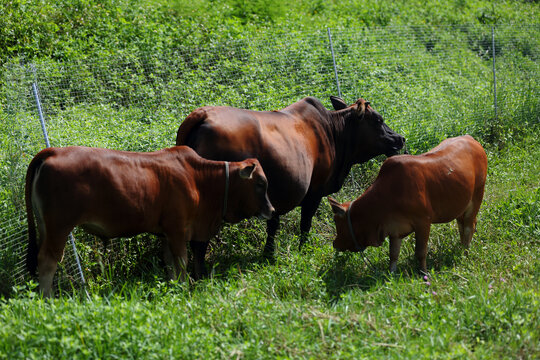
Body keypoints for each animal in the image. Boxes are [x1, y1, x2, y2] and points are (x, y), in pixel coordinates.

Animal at [25, 145, 274, 296]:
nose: (271, 210)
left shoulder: (166, 233)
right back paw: (48, 299)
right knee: (47, 261)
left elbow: (170, 263)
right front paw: (184, 287)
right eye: (260, 183)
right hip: (59, 226)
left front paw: (174, 287)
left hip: (45, 226)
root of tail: (52, 151)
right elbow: (182, 261)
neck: (198, 179)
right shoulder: (177, 229)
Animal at [177, 96, 404, 256]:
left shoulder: (274, 196)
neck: (333, 133)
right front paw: (303, 251)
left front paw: (268, 255)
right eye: (378, 120)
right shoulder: (314, 191)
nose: (400, 138)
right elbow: (305, 224)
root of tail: (203, 114)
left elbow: (272, 225)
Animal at [326, 135, 488, 272]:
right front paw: (391, 274)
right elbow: (393, 255)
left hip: (477, 197)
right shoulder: (394, 230)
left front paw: (423, 273)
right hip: (461, 204)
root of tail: (471, 139)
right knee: (462, 226)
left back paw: (465, 252)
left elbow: (420, 252)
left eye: (336, 220)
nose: (335, 244)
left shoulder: (423, 222)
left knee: (469, 227)